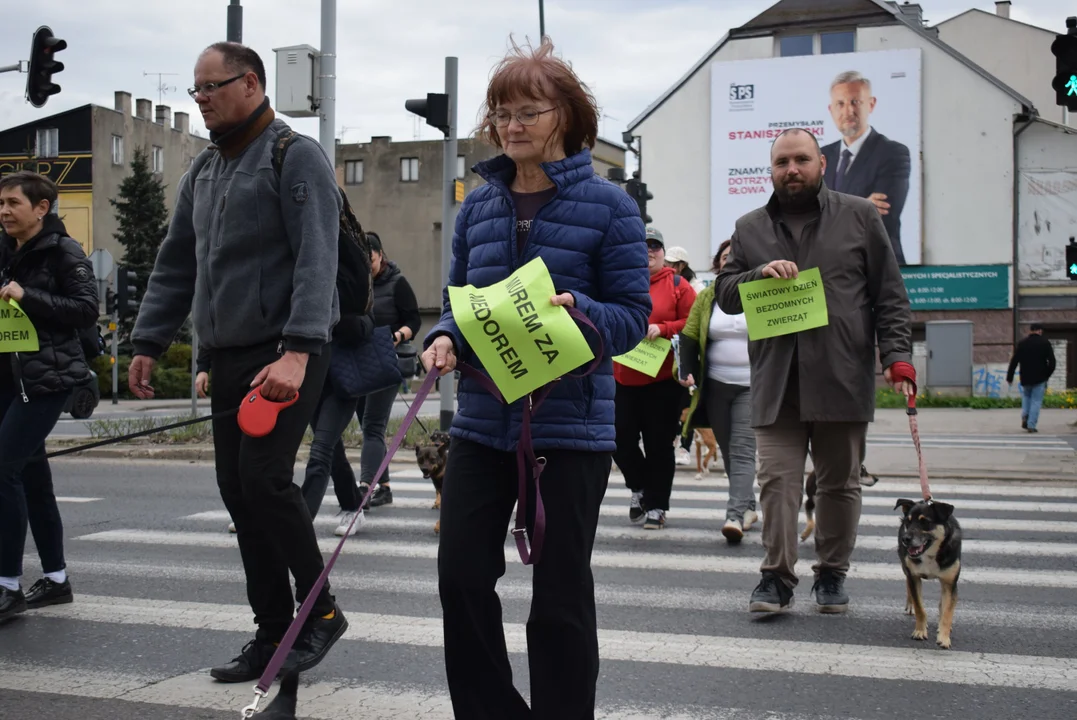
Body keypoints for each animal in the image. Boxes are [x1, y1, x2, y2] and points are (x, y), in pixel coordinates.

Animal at [896, 497, 964, 650]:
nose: (905, 539)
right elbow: (920, 607)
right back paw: (910, 605)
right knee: (908, 584)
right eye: (908, 522)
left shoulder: (950, 583)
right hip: (905, 566)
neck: (931, 554)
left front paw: (944, 638)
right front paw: (920, 632)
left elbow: (947, 612)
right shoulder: (914, 577)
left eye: (925, 522)